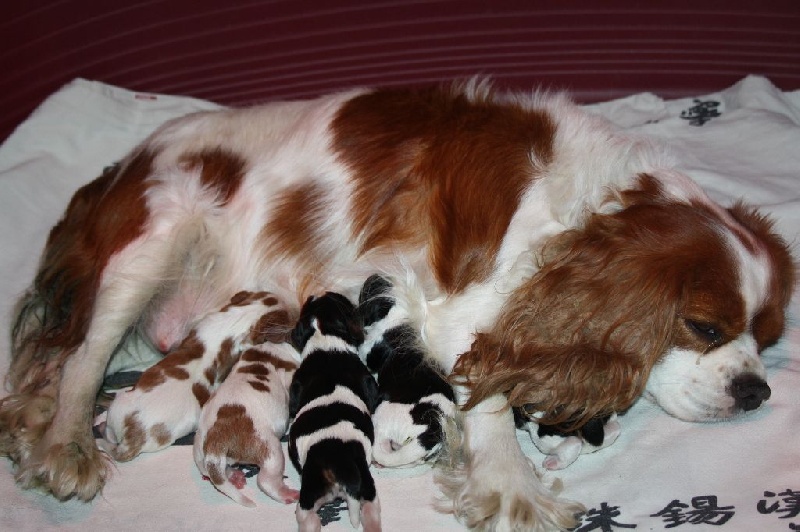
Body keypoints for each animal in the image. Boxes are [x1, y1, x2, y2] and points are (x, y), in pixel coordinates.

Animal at [194, 340, 300, 508]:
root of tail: (214, 440)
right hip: (271, 450)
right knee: (265, 481)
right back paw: (286, 494)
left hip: (199, 452)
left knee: (208, 470)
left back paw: (233, 476)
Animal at [288, 294, 382, 532]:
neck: (323, 337)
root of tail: (339, 462)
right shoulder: (368, 379)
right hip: (367, 486)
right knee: (371, 512)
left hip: (309, 492)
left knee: (307, 518)